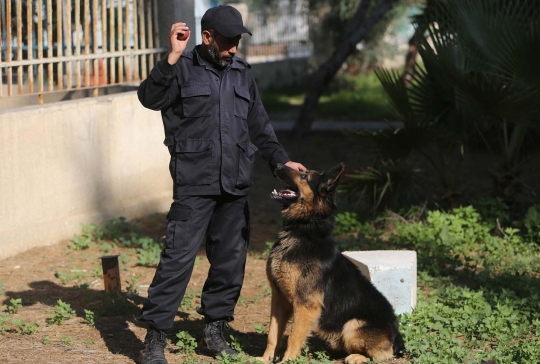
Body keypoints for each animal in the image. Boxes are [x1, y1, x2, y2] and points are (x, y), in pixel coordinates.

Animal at [258, 164, 404, 362]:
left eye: (304, 176)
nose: (277, 165)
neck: (304, 228)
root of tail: (397, 339)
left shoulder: (305, 306)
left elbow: (294, 338)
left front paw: (287, 361)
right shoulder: (279, 301)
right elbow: (272, 335)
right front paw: (264, 359)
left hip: (352, 325)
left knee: (382, 354)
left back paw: (356, 357)